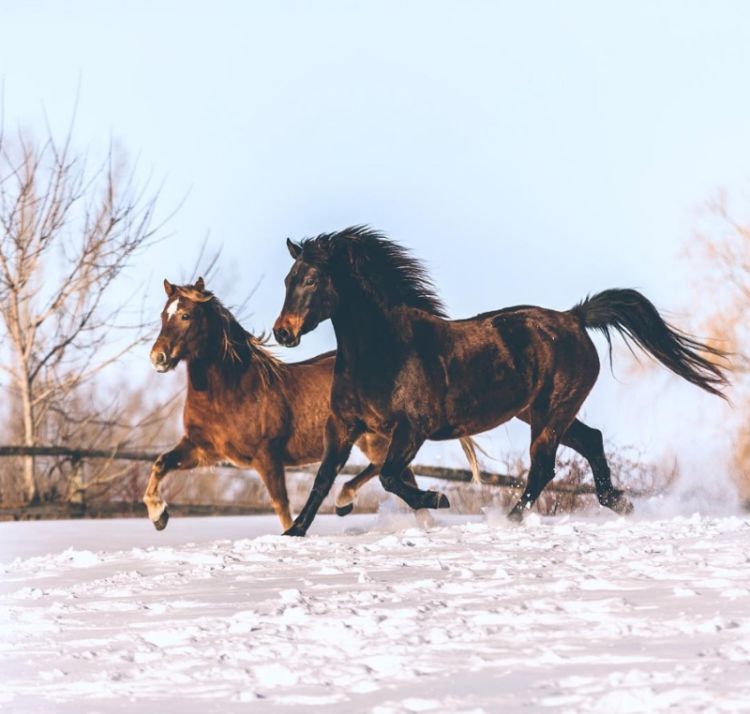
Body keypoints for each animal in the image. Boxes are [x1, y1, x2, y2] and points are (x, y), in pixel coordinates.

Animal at [144, 276, 478, 528]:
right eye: (162, 315)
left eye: (186, 315)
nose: (157, 358)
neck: (234, 390)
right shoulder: (203, 449)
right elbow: (160, 464)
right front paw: (159, 515)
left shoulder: (267, 457)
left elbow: (281, 507)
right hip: (372, 438)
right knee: (392, 471)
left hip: (376, 436)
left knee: (391, 470)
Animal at [274, 225, 728, 532]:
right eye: (287, 279)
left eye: (311, 279)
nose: (283, 332)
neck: (383, 351)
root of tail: (574, 318)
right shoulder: (343, 425)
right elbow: (323, 479)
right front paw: (296, 531)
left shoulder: (412, 429)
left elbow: (387, 476)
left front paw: (437, 498)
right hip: (539, 412)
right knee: (590, 441)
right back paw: (618, 503)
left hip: (552, 413)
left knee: (543, 466)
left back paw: (510, 519)